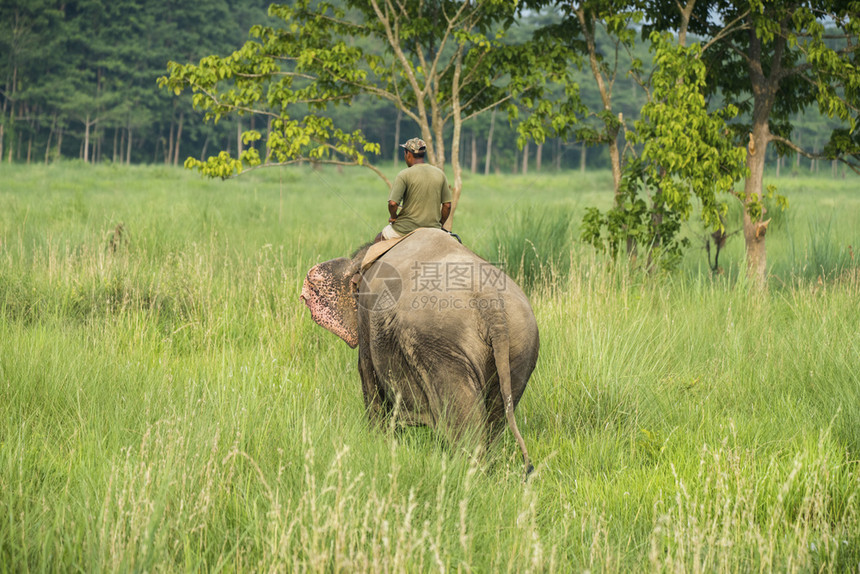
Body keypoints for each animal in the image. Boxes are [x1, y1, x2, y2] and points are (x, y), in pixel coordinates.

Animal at [300, 227, 536, 474]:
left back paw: (464, 471)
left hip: (439, 344)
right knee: (497, 414)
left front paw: (378, 444)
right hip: (520, 346)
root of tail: (490, 300)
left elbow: (367, 374)